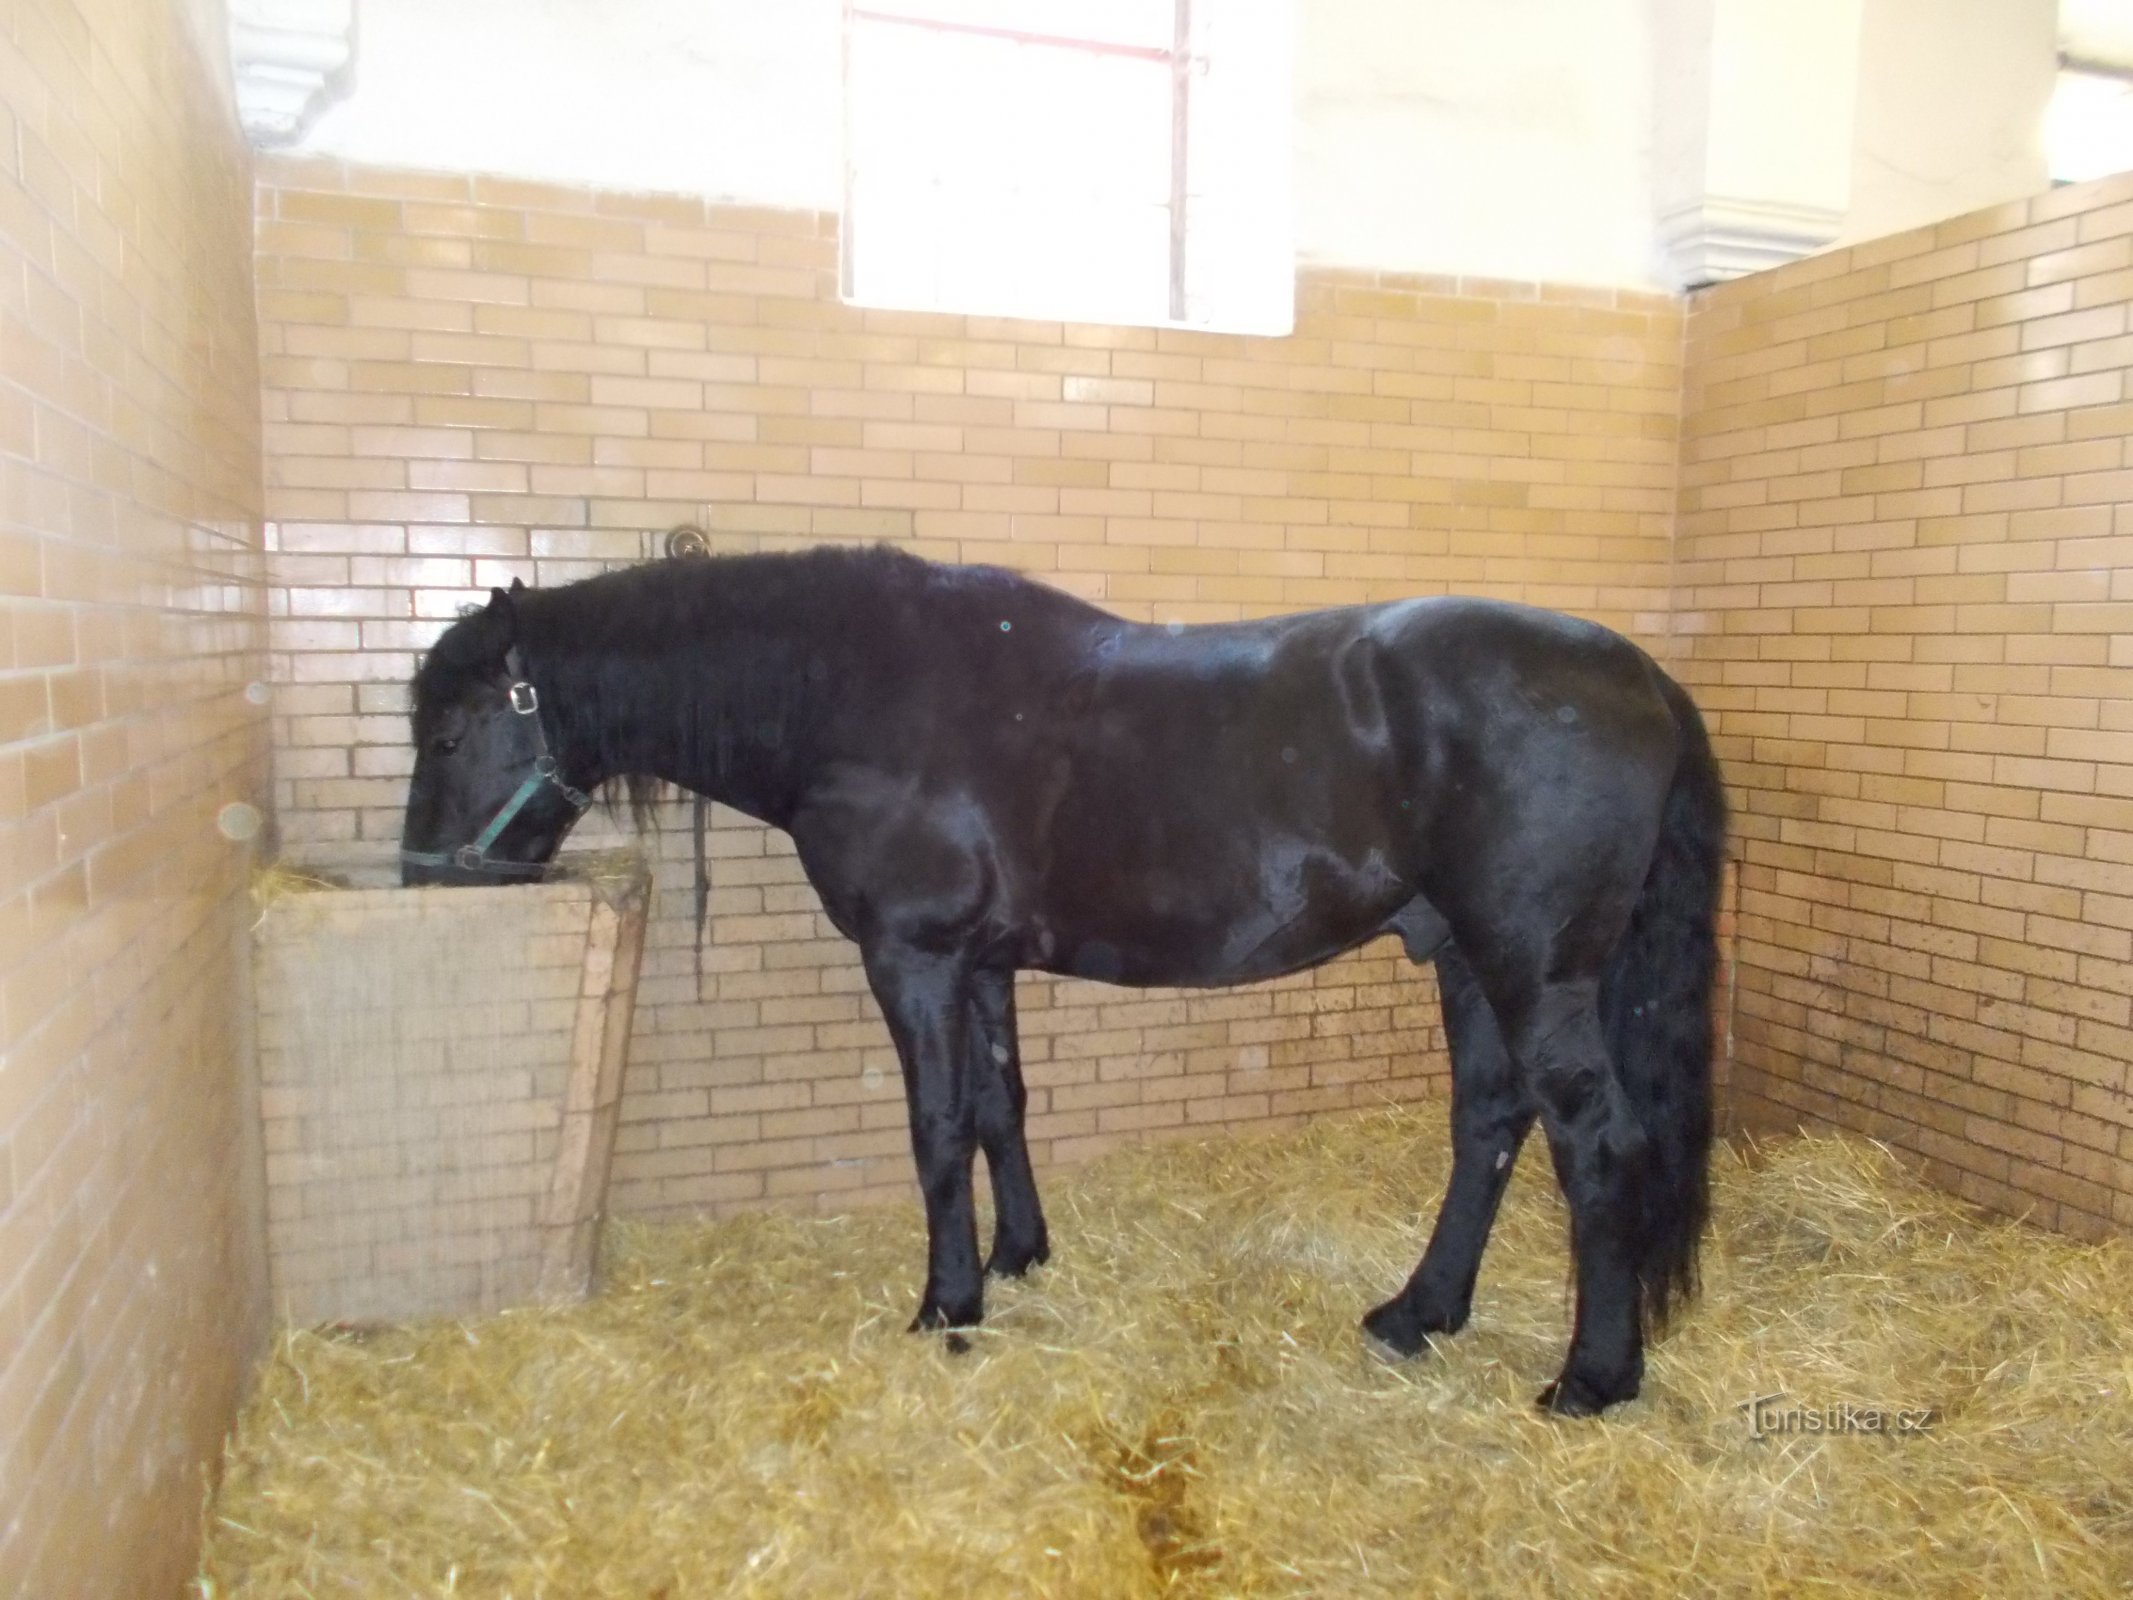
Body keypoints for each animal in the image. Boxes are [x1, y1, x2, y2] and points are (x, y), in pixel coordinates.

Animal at [403, 550, 1731, 1416]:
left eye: (452, 731)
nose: (422, 874)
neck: (859, 687)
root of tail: (1643, 677)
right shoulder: (983, 964)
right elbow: (1002, 1105)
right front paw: (1019, 1255)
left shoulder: (916, 957)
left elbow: (938, 1127)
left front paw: (947, 1302)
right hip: (1461, 957)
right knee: (1490, 1125)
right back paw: (1419, 1313)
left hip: (1534, 972)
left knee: (1596, 1145)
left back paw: (1592, 1378)